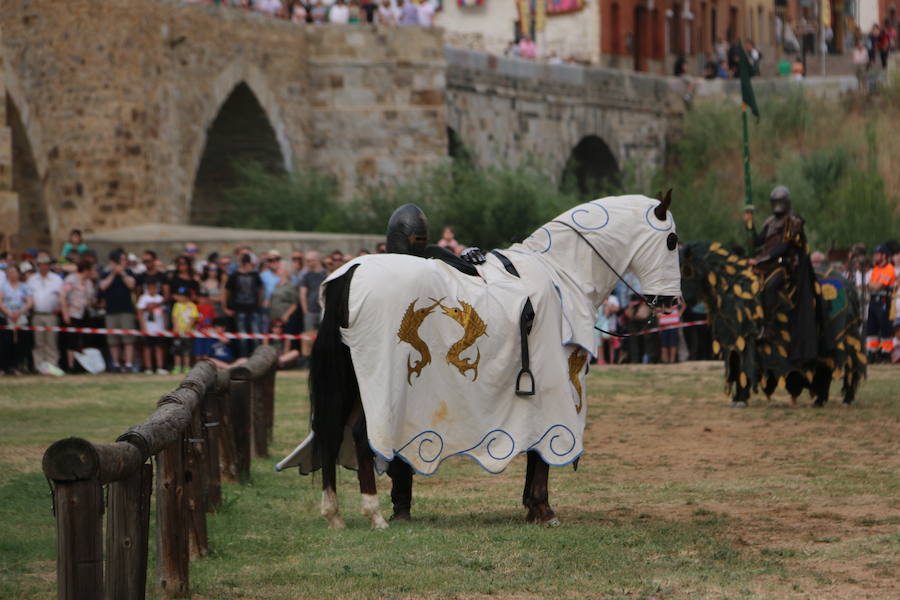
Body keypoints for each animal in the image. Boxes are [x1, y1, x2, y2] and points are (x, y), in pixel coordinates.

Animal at [278, 191, 680, 524]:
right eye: (673, 241)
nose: (672, 302)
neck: (563, 274)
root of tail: (354, 271)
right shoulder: (553, 392)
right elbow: (541, 453)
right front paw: (542, 508)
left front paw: (532, 507)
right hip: (378, 386)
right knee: (365, 436)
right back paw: (374, 513)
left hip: (351, 379)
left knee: (331, 431)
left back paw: (337, 513)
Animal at [684, 243, 864, 408]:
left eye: (685, 269)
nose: (682, 302)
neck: (732, 289)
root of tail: (848, 284)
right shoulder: (733, 342)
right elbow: (737, 368)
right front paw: (739, 397)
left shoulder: (745, 340)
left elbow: (744, 368)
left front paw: (741, 398)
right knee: (827, 367)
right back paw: (821, 400)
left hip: (845, 336)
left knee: (851, 365)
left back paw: (846, 398)